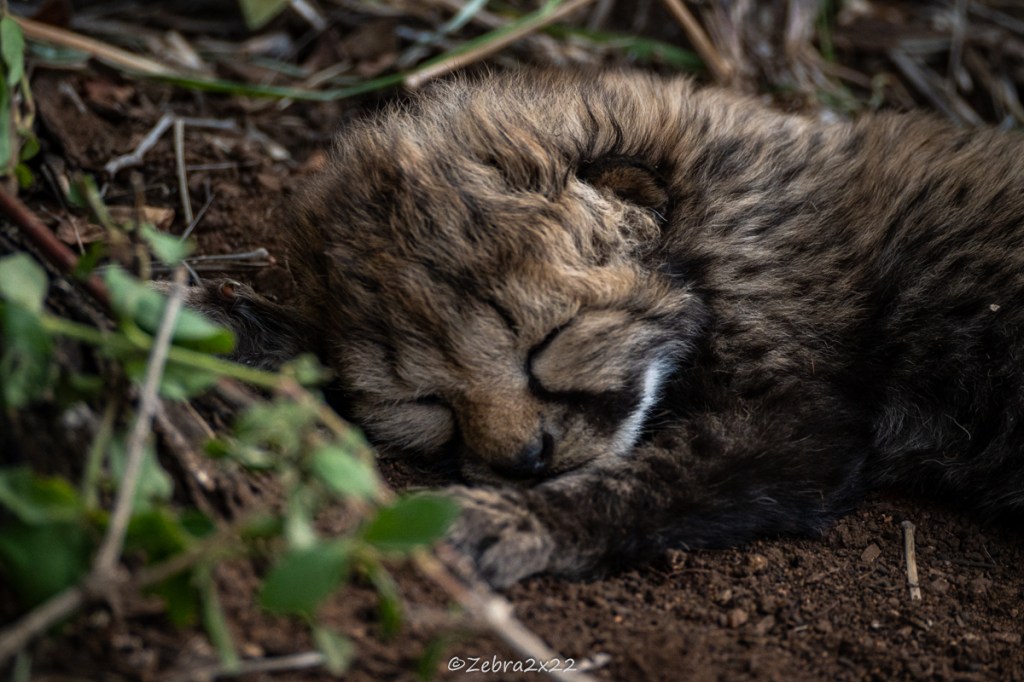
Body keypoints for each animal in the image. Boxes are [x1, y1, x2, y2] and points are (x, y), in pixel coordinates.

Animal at [189, 69, 1024, 587]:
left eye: (547, 341)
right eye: (426, 403)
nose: (526, 460)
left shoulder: (794, 424)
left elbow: (638, 482)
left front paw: (503, 523)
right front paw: (239, 334)